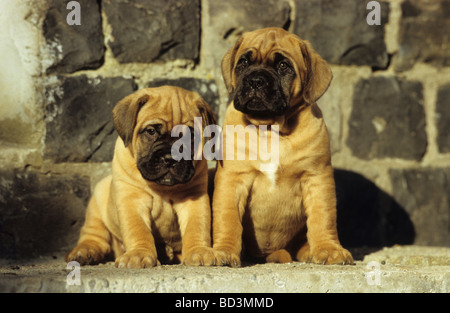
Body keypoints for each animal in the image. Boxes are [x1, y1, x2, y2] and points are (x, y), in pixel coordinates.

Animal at [64, 86, 216, 268]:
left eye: (191, 136)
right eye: (151, 131)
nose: (170, 158)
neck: (162, 189)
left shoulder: (194, 198)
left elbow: (196, 226)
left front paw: (199, 251)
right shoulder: (132, 200)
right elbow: (137, 229)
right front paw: (138, 254)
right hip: (98, 201)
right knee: (94, 235)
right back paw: (85, 252)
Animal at [213, 27, 354, 266]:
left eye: (283, 66)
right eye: (243, 62)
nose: (255, 80)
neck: (270, 129)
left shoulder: (317, 177)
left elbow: (323, 217)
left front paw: (328, 249)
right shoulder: (232, 178)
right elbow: (228, 217)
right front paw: (223, 251)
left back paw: (308, 250)